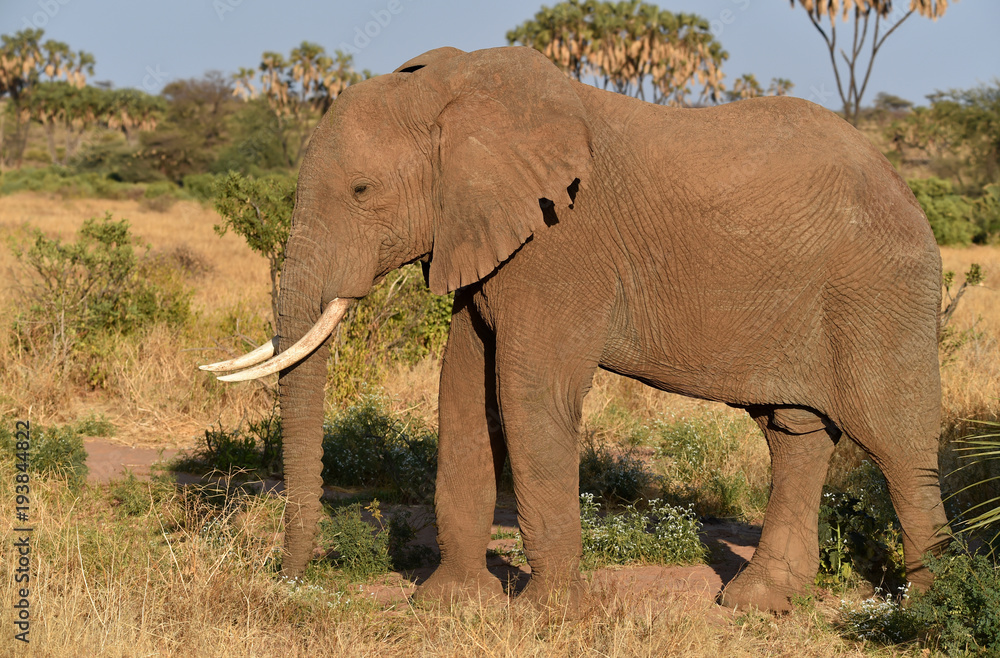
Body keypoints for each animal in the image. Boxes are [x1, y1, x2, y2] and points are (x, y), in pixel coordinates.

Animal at [202, 45, 948, 612]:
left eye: (362, 192)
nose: (290, 579)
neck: (460, 93)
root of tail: (905, 189)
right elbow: (463, 395)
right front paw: (447, 605)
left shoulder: (561, 247)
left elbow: (530, 396)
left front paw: (546, 616)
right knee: (794, 434)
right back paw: (756, 604)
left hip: (881, 293)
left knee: (897, 442)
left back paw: (931, 612)